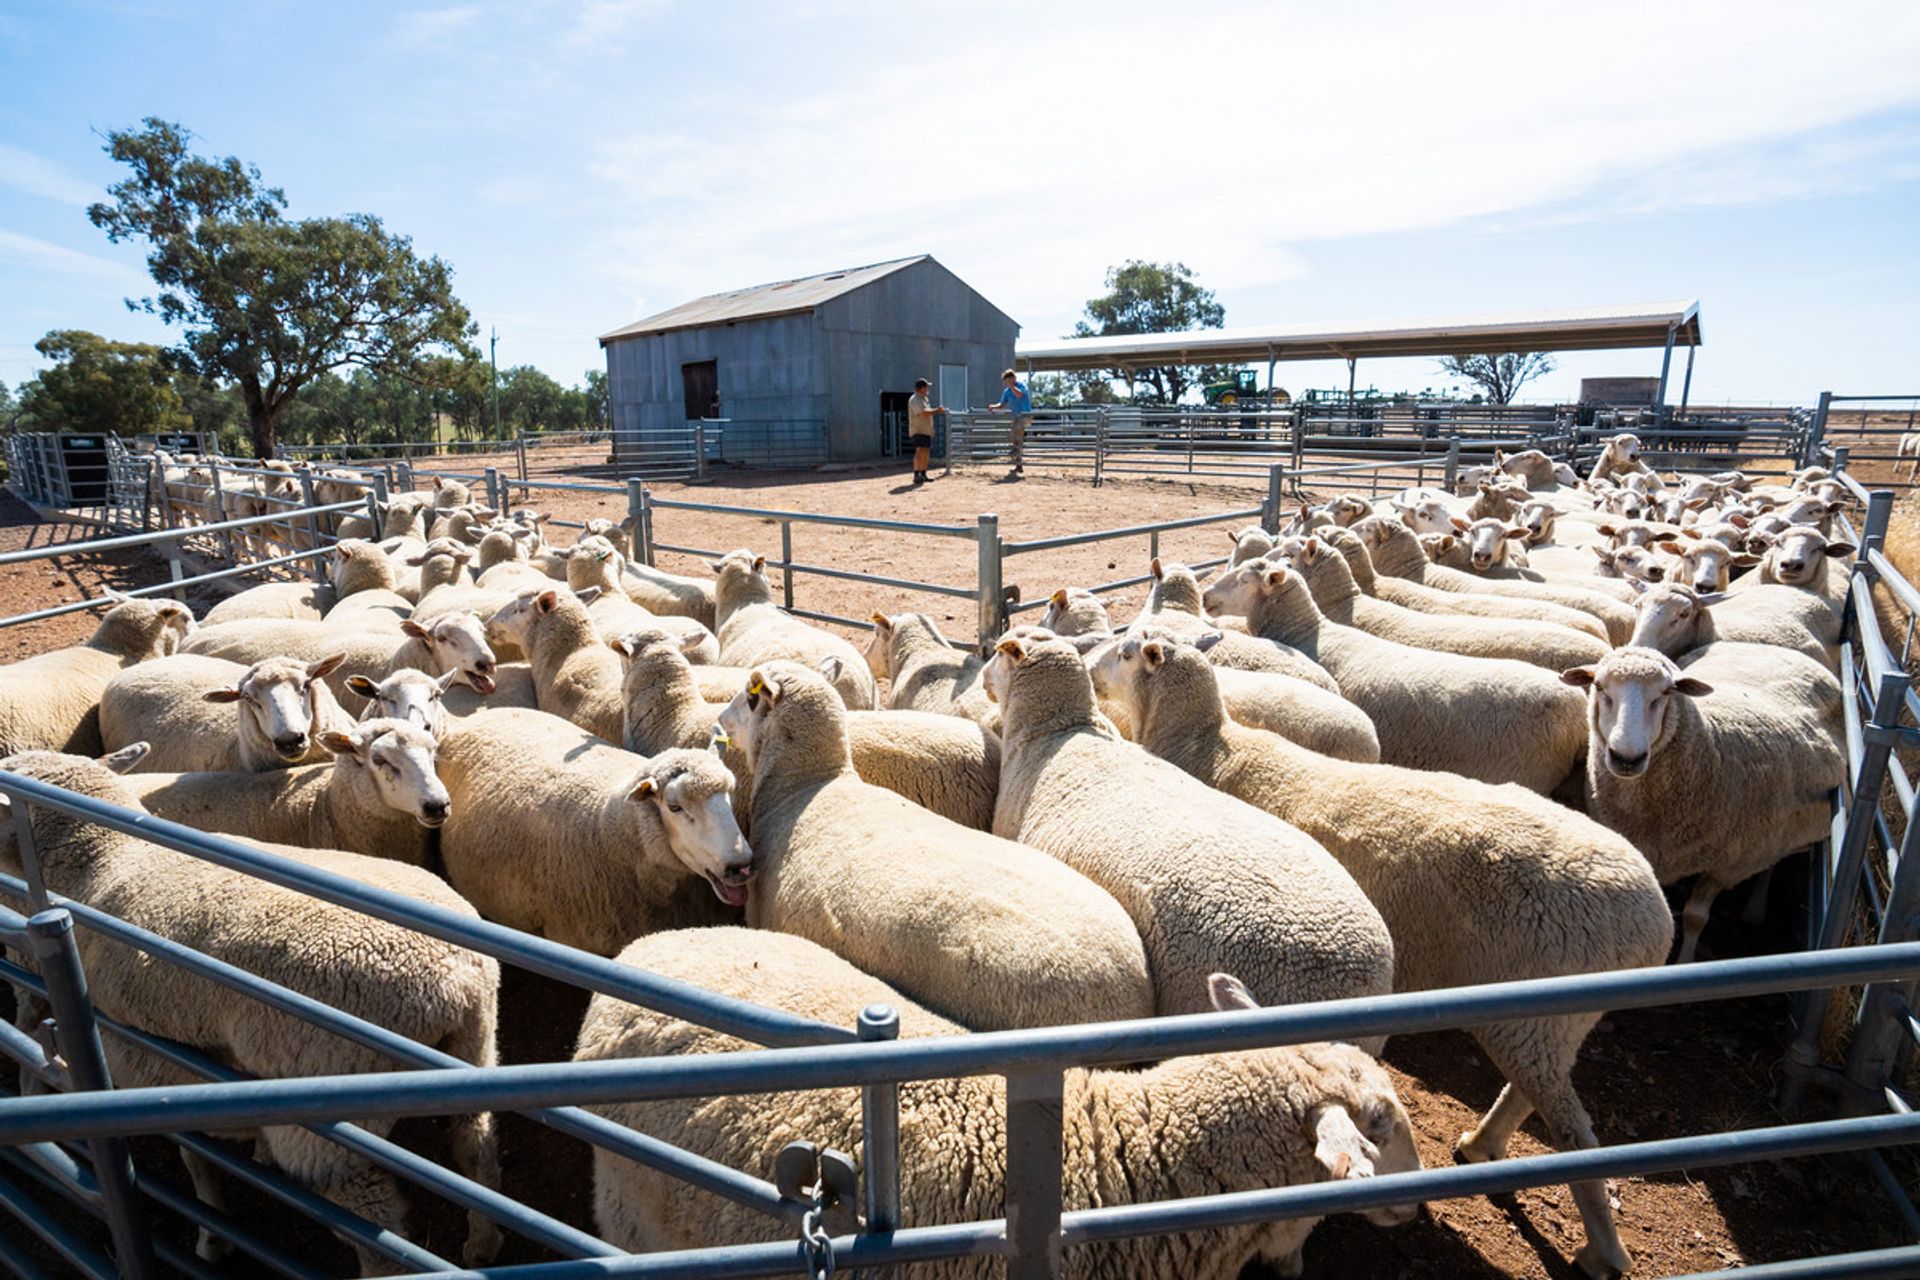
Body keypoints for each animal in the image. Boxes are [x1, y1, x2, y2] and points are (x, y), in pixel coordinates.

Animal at [0, 746, 501, 1271]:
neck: (104, 859)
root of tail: (453, 977)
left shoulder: (152, 1064)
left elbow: (197, 1159)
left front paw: (211, 1237)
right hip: (475, 1047)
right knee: (477, 1149)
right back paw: (482, 1244)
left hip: (328, 1127)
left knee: (377, 1237)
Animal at [1095, 631, 1669, 1280]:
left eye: (1123, 650)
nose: (1090, 666)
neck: (1205, 742)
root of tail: (1656, 921)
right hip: (1556, 1019)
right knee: (1534, 1092)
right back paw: (1482, 1147)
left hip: (1541, 1010)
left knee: (1574, 1131)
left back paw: (1601, 1251)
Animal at [1567, 645, 1844, 963]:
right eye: (1599, 687)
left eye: (1667, 692)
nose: (1626, 758)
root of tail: (1779, 649)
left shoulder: (1727, 864)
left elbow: (1695, 918)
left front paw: (1685, 960)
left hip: (1776, 830)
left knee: (1771, 863)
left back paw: (1755, 908)